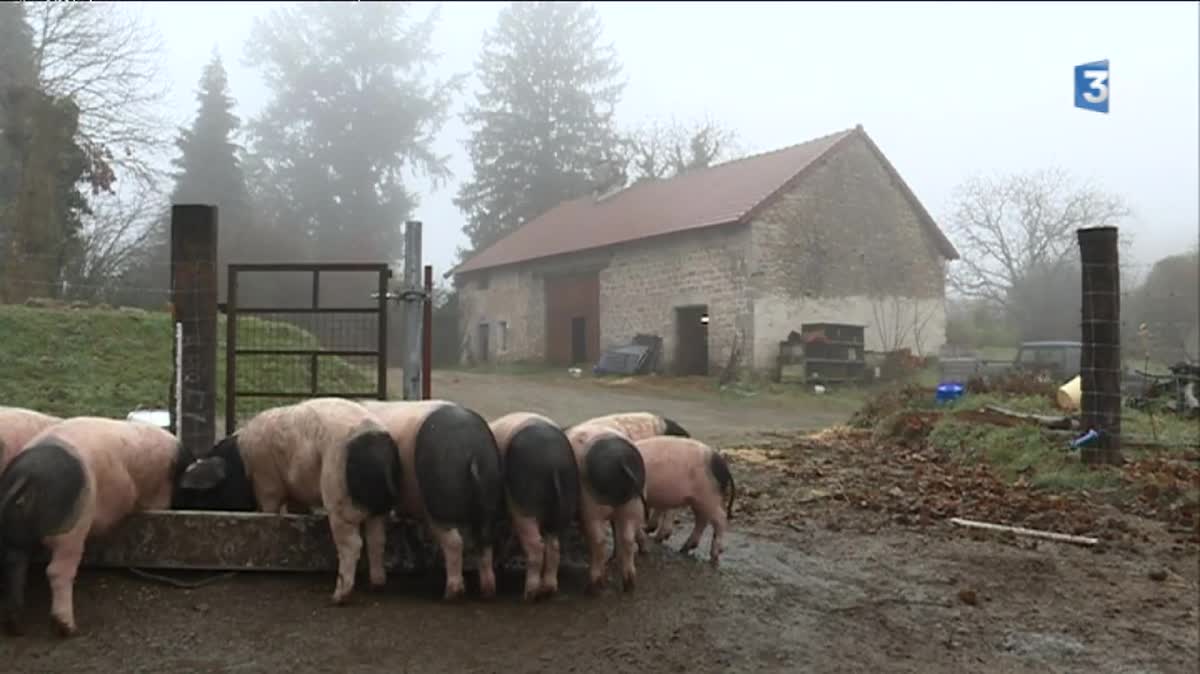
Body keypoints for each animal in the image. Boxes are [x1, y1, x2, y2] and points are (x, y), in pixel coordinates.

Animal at [0, 414, 187, 633]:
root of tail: (27, 474)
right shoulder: (159, 498)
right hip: (71, 527)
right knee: (56, 570)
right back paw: (67, 628)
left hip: (16, 530)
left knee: (14, 564)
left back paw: (14, 625)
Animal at [171, 395, 403, 606]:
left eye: (201, 494)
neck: (241, 466)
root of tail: (377, 448)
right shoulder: (295, 491)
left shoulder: (267, 482)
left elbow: (268, 510)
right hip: (377, 510)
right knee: (377, 540)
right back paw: (376, 585)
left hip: (338, 496)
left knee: (353, 544)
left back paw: (337, 598)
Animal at [360, 398, 501, 597]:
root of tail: (474, 453)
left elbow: (374, 538)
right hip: (489, 496)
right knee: (486, 540)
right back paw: (488, 590)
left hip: (439, 501)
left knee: (455, 542)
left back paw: (452, 593)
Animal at [487, 410, 580, 597]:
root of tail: (553, 463)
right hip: (565, 500)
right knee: (554, 545)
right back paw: (548, 590)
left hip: (525, 504)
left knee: (536, 544)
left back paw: (529, 594)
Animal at [633, 431, 734, 563]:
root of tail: (722, 465)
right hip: (698, 500)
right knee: (702, 519)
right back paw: (684, 548)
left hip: (708, 496)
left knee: (720, 519)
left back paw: (714, 556)